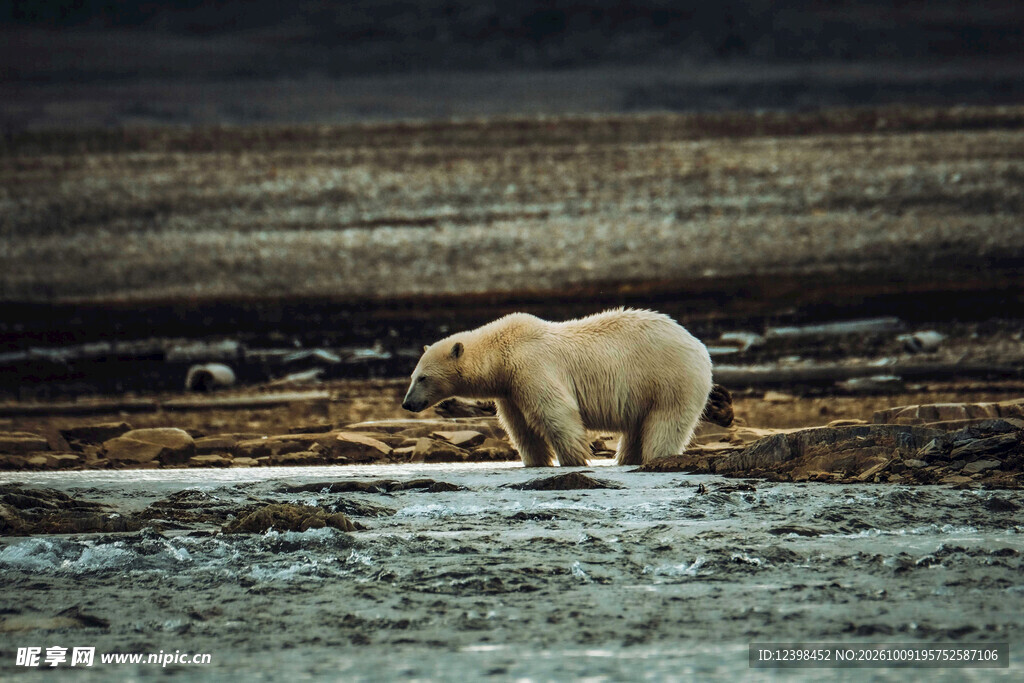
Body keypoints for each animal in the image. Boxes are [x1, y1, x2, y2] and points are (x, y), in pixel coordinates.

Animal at [401, 308, 714, 467]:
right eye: (413, 376)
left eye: (423, 378)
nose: (407, 403)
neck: (502, 352)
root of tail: (697, 344)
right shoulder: (510, 389)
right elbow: (521, 427)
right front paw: (536, 462)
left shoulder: (531, 367)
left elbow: (556, 413)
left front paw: (575, 460)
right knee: (638, 428)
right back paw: (628, 459)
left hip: (669, 379)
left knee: (665, 422)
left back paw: (656, 457)